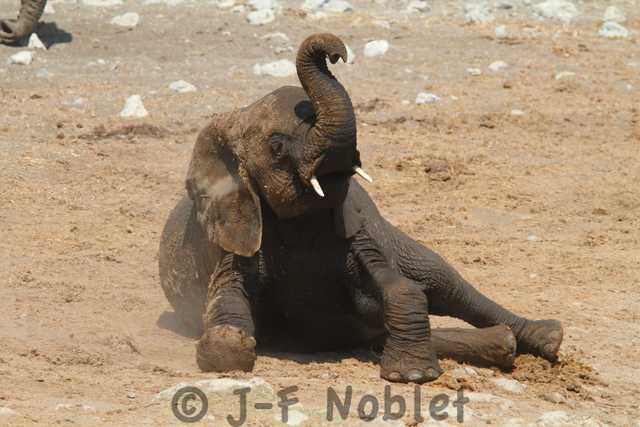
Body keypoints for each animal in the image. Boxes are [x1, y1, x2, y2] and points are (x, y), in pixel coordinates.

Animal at [158, 33, 563, 383]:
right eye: (276, 147)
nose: (337, 53)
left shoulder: (359, 231)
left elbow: (401, 287)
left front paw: (412, 376)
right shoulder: (238, 228)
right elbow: (226, 294)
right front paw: (234, 341)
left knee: (447, 284)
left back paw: (544, 338)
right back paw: (501, 344)